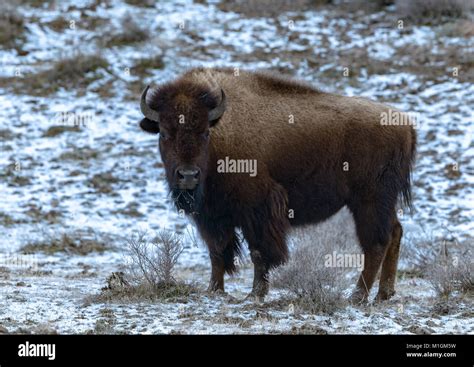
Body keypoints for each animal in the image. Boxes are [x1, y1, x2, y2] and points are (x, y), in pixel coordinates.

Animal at [138, 67, 414, 304]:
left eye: (205, 132)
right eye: (164, 133)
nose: (188, 176)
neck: (221, 132)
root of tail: (405, 124)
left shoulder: (258, 209)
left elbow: (259, 252)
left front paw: (255, 294)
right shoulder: (211, 216)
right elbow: (217, 252)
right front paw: (214, 290)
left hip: (369, 201)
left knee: (375, 243)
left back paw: (357, 297)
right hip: (383, 202)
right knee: (394, 232)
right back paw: (384, 294)